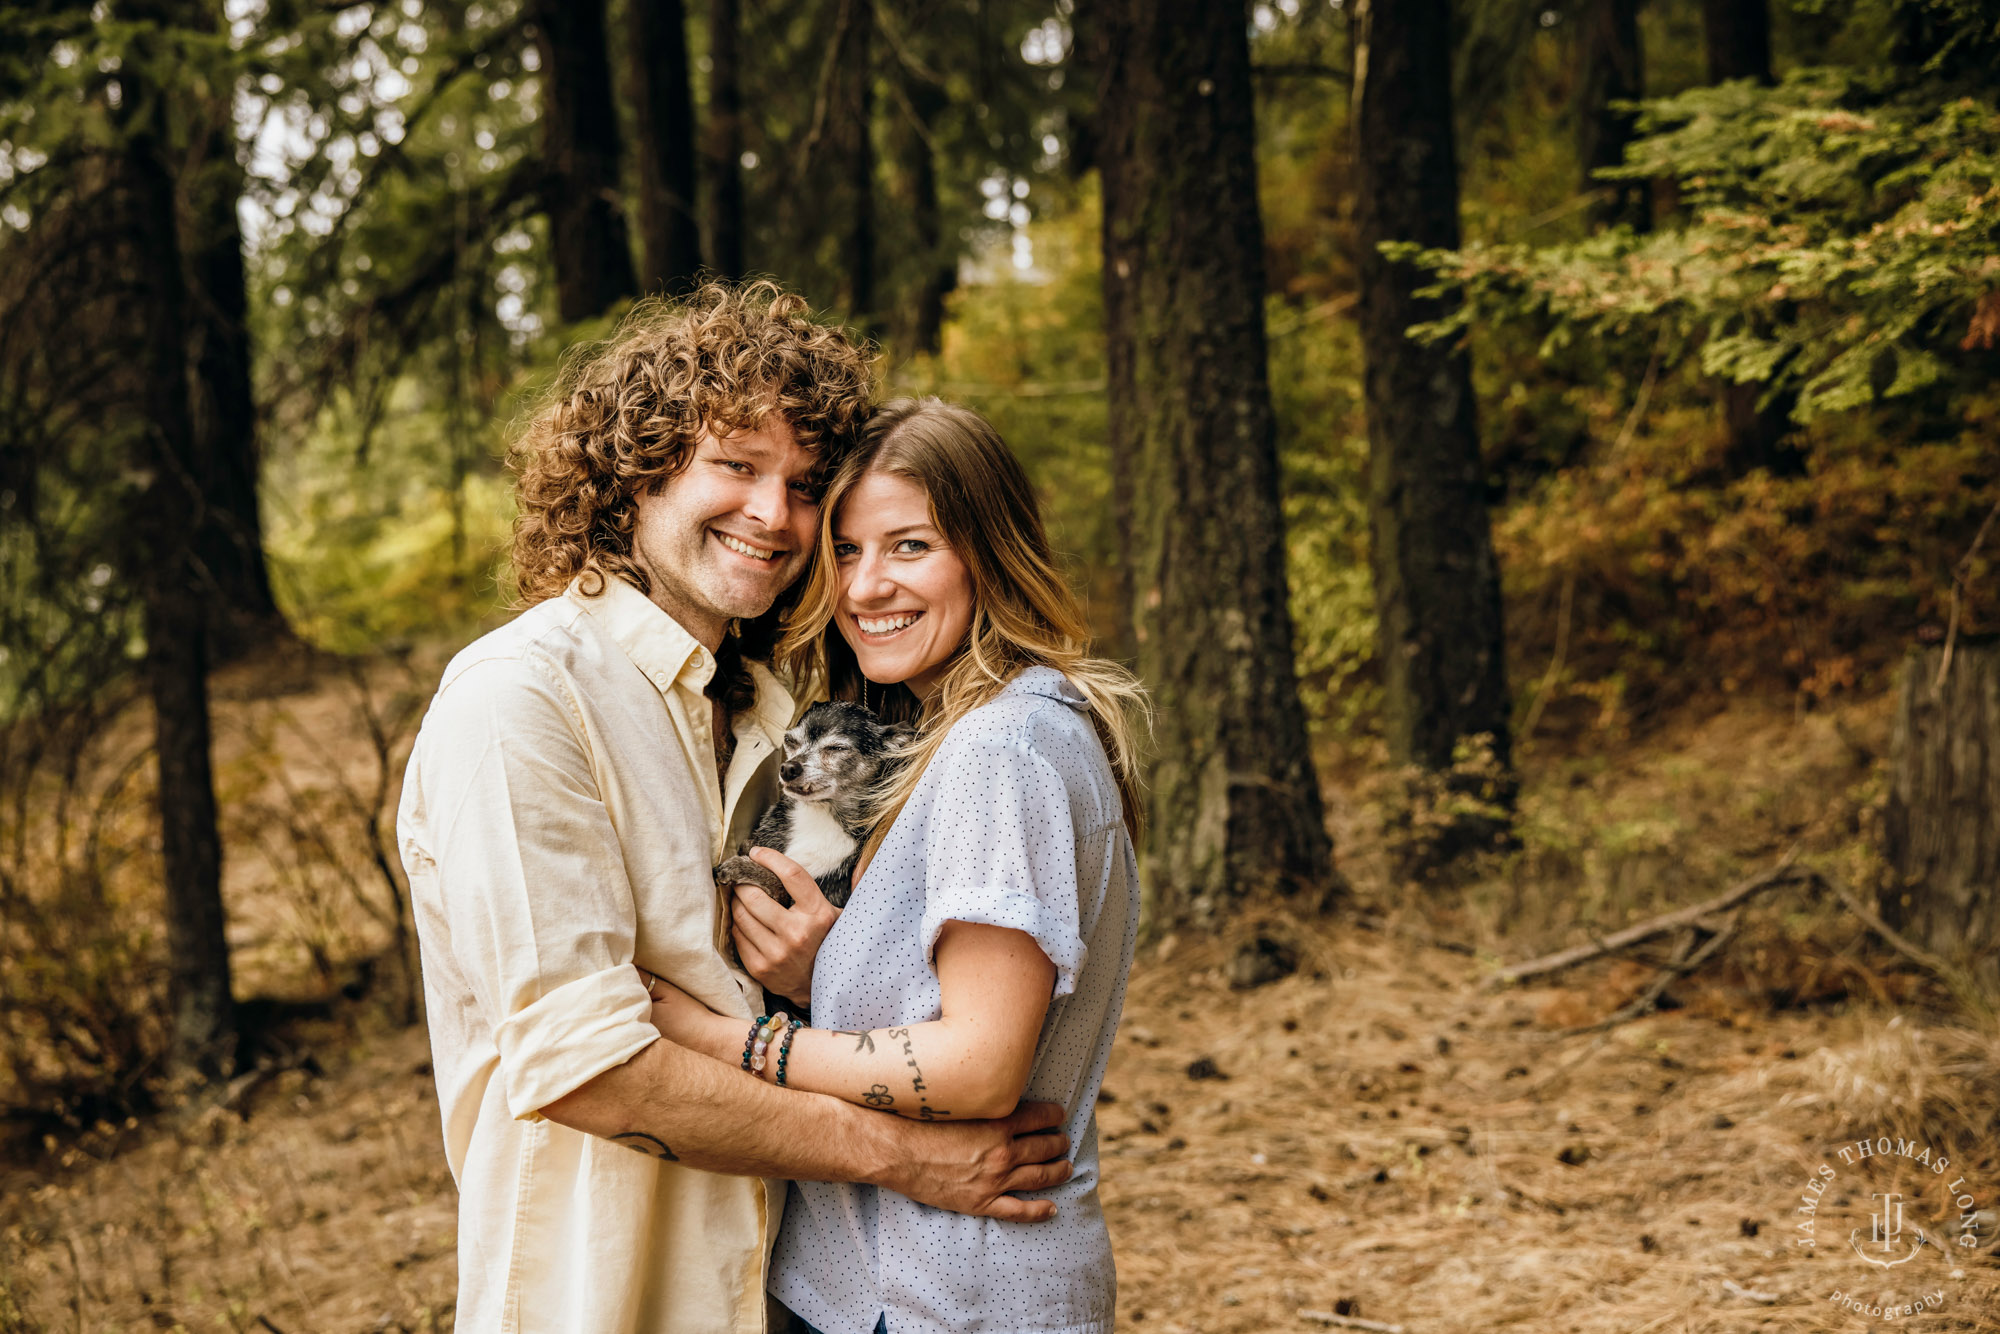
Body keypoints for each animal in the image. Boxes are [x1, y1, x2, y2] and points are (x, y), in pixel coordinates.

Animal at [716, 700, 912, 908]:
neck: (820, 812)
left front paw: (741, 867)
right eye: (790, 741)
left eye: (837, 749)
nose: (788, 768)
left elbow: (777, 880)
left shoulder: (817, 895)